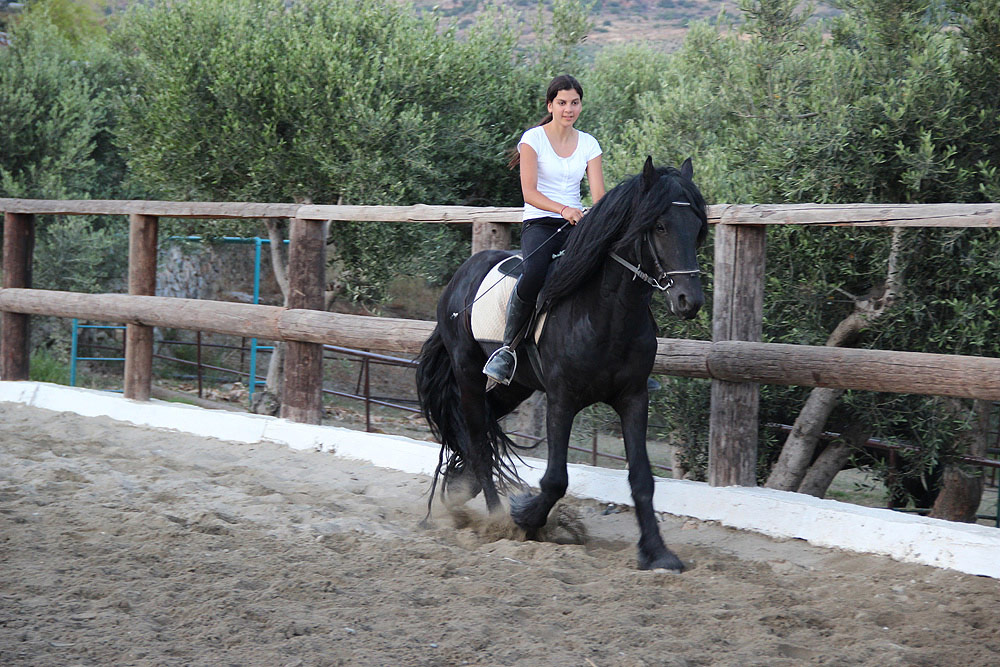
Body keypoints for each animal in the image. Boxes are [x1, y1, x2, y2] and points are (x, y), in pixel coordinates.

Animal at [416, 157, 708, 572]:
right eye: (660, 226)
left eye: (696, 228)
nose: (689, 301)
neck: (605, 313)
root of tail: (461, 276)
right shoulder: (561, 399)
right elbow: (555, 478)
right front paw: (524, 518)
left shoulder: (634, 397)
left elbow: (642, 478)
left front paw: (657, 552)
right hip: (468, 371)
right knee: (477, 439)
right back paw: (496, 518)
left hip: (517, 386)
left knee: (483, 425)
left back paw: (463, 485)